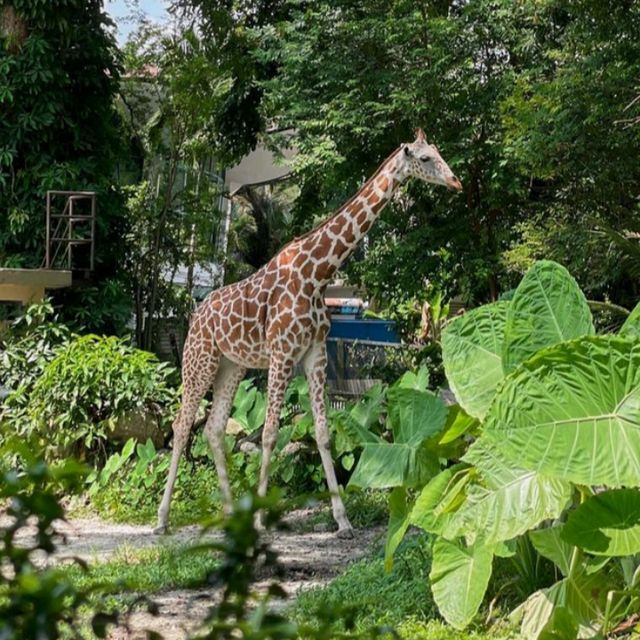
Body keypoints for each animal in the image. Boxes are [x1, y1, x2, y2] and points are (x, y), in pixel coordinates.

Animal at [157, 129, 462, 536]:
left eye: (439, 152)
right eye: (426, 158)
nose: (455, 182)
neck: (317, 275)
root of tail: (196, 313)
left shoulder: (315, 352)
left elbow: (322, 432)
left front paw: (342, 520)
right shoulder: (283, 352)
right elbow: (269, 433)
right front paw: (261, 518)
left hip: (231, 366)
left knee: (214, 429)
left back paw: (230, 514)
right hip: (199, 360)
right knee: (181, 425)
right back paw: (162, 519)